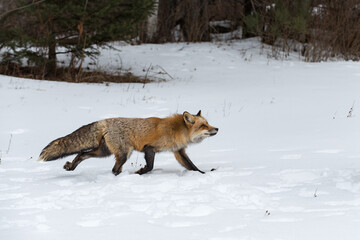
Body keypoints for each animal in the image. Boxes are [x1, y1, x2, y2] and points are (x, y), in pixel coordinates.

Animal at [39, 110, 219, 174]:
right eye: (204, 125)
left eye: (208, 123)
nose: (217, 128)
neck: (177, 130)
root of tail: (105, 121)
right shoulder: (149, 148)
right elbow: (150, 166)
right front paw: (141, 172)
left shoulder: (179, 151)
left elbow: (192, 166)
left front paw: (202, 175)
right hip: (124, 153)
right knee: (114, 169)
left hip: (104, 152)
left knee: (82, 154)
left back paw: (71, 166)